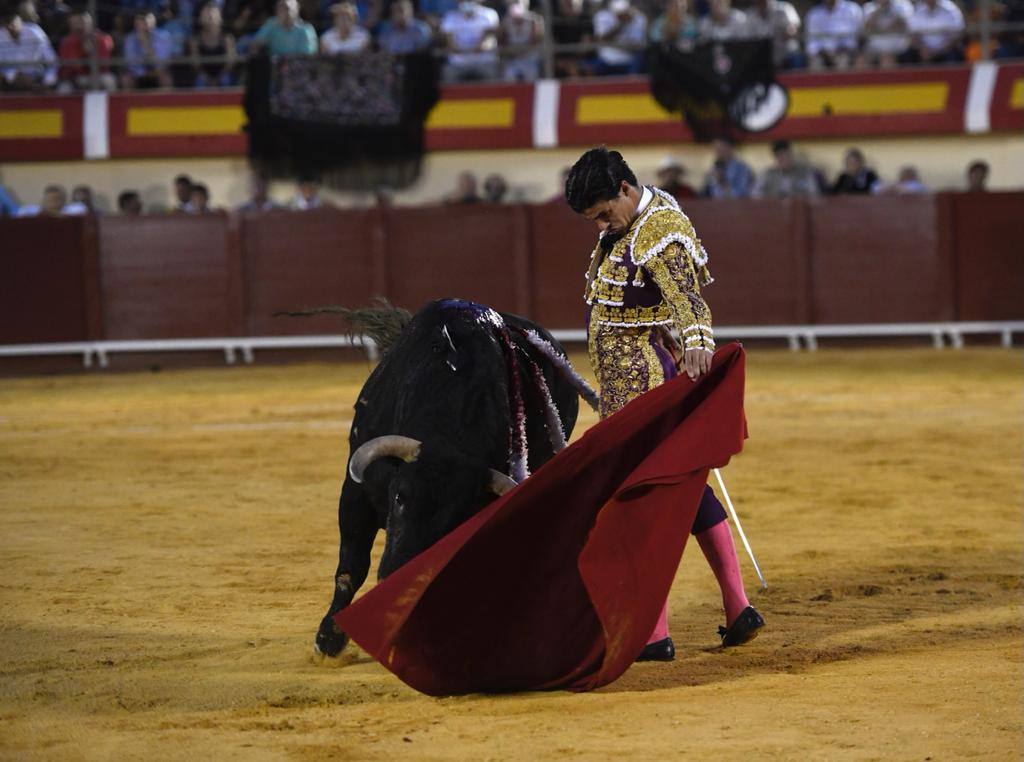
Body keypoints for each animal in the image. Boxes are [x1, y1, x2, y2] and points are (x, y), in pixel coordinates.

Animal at [311, 301, 589, 659]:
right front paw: (328, 640)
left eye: (455, 520)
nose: (397, 577)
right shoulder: (356, 491)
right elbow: (351, 567)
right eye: (399, 498)